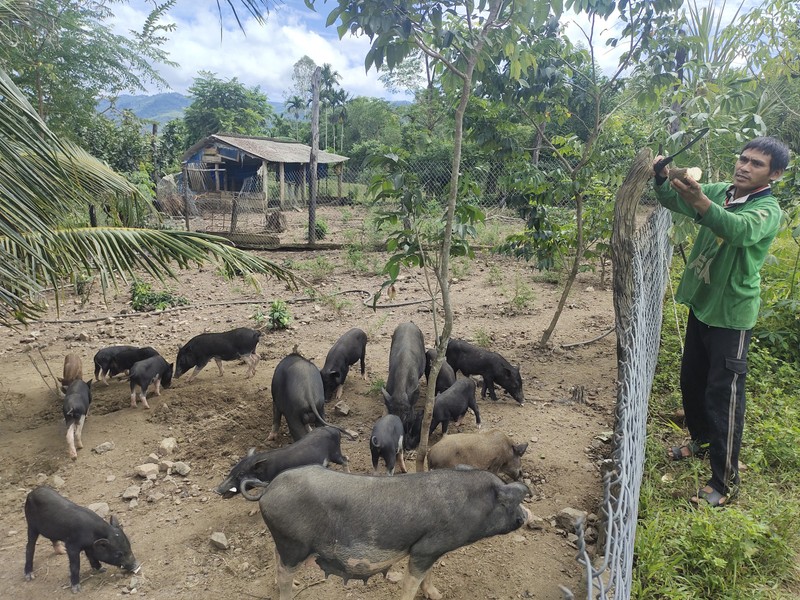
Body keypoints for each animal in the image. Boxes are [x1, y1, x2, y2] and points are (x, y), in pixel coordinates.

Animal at [247, 464, 528, 600]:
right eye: (507, 503)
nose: (525, 516)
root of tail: (268, 488)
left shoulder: (432, 550)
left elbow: (428, 574)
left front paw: (437, 595)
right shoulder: (425, 548)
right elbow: (411, 583)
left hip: (286, 543)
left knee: (276, 558)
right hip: (293, 543)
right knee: (283, 572)